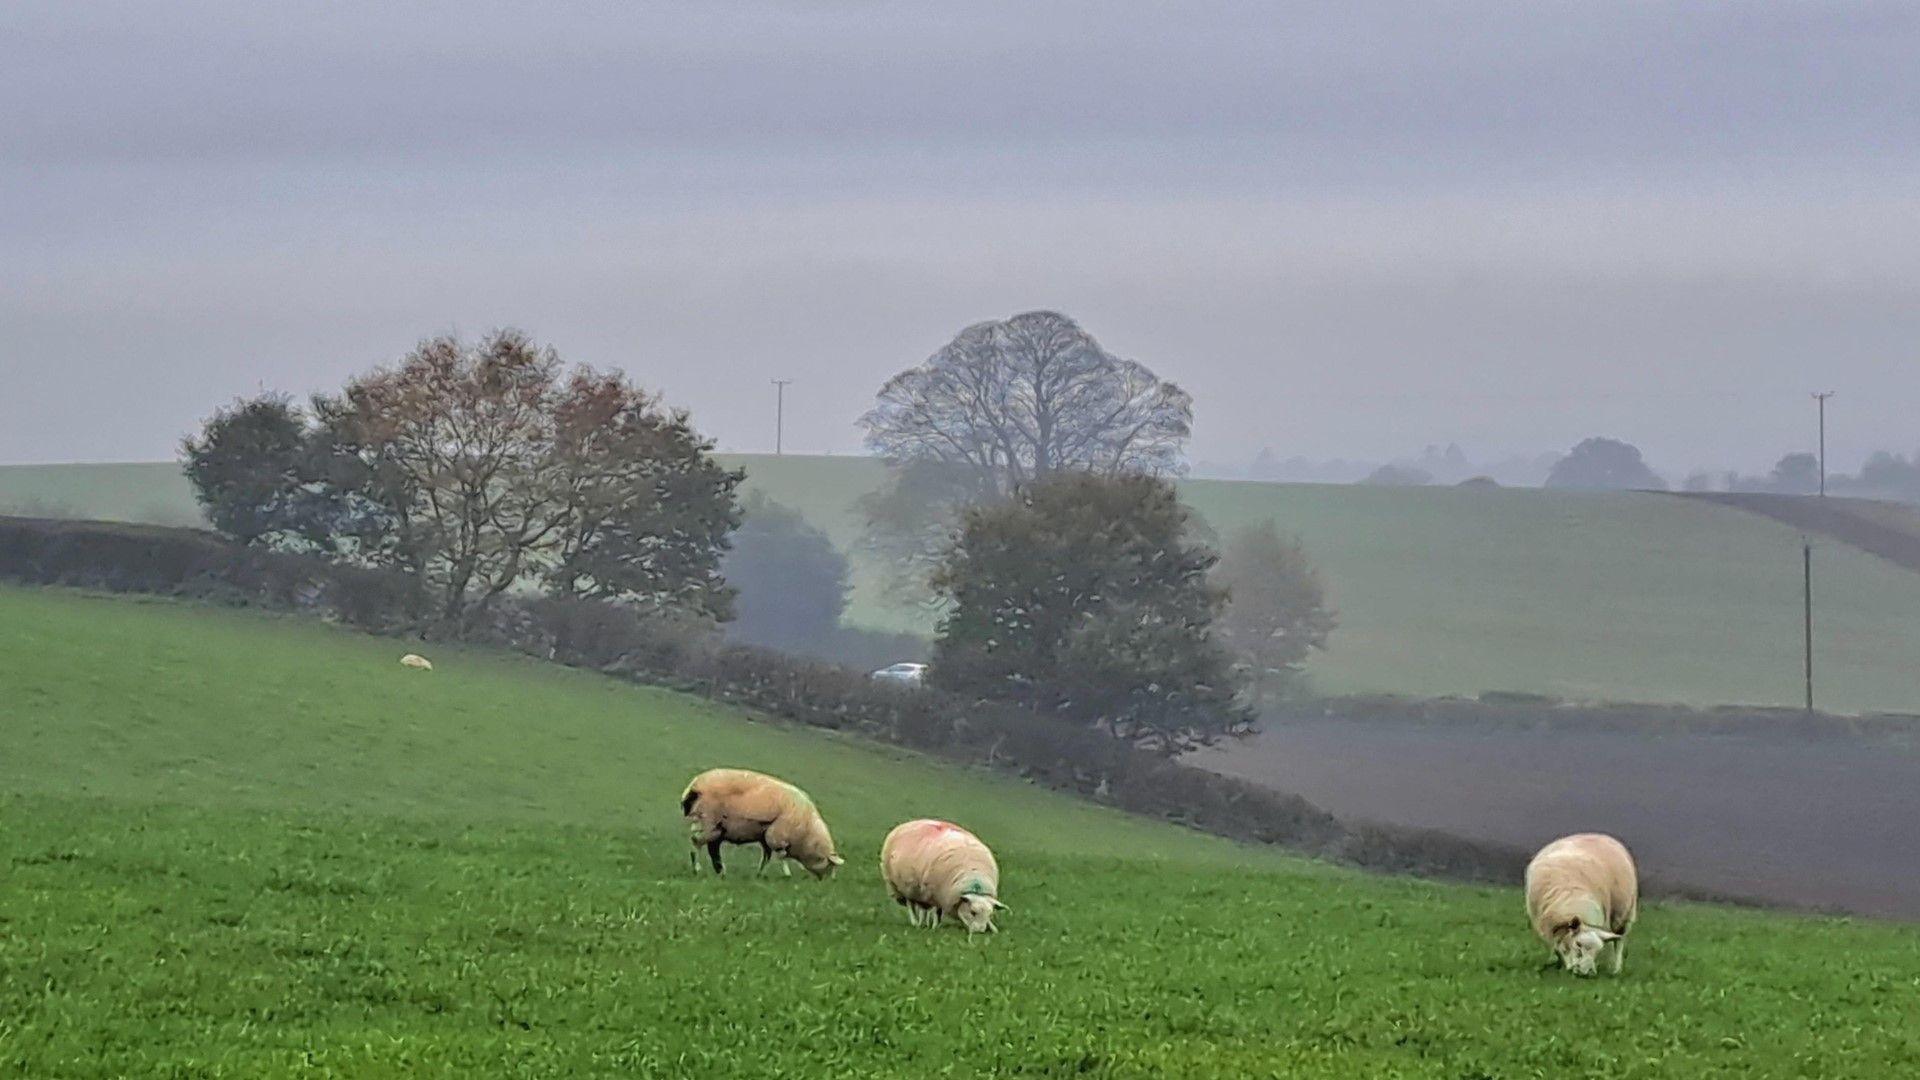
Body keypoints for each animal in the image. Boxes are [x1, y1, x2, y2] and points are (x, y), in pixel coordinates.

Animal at [683, 764, 848, 876]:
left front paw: (760, 873)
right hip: (707, 821)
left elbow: (766, 857)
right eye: (830, 865)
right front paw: (787, 874)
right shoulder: (777, 835)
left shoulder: (766, 837)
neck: (807, 833)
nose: (826, 882)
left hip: (717, 827)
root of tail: (694, 786)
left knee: (713, 848)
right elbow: (781, 856)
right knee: (697, 843)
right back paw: (697, 868)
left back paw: (720, 871)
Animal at [1520, 826, 1643, 972]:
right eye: (1578, 944)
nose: (1586, 973)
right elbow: (1557, 947)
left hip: (1625, 915)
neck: (1571, 897)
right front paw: (1559, 963)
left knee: (1618, 942)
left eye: (1597, 952)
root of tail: (1596, 834)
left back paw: (1615, 969)